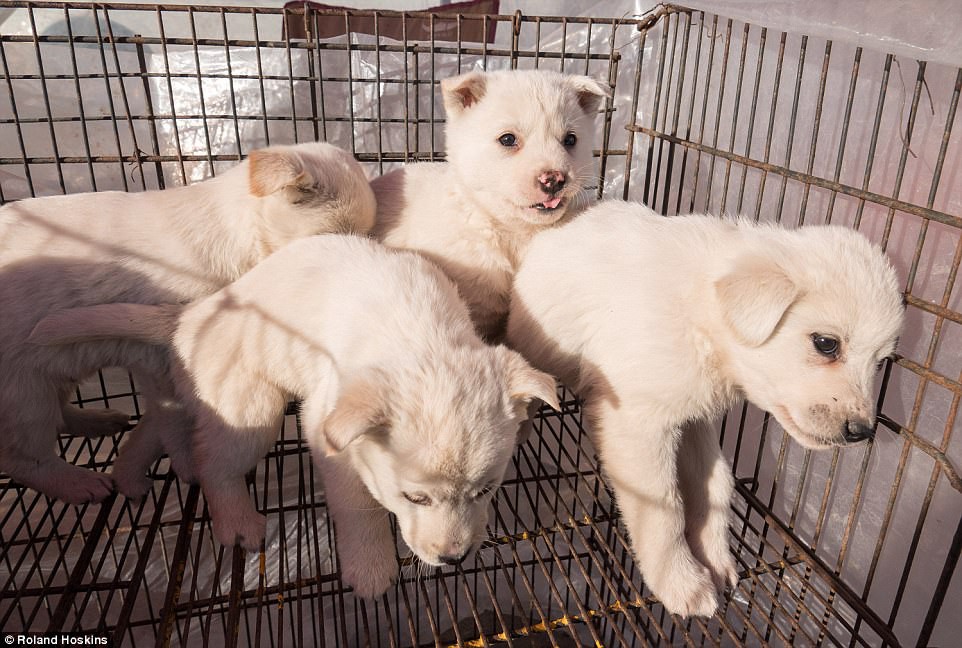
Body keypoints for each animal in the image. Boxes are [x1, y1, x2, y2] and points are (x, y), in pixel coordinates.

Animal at [0, 143, 376, 506]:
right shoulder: (161, 356)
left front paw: (133, 469)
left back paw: (97, 420)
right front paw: (183, 464)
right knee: (23, 457)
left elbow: (159, 421)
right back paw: (79, 483)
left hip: (53, 372)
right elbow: (174, 417)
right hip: (24, 394)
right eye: (333, 235)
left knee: (59, 416)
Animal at [31, 233, 556, 596]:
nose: (454, 559)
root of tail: (191, 315)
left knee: (156, 426)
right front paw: (370, 571)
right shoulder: (329, 431)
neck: (422, 337)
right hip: (249, 405)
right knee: (214, 464)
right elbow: (359, 506)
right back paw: (237, 522)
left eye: (486, 490)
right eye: (415, 497)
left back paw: (129, 475)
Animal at [506, 202, 904, 616]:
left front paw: (715, 559)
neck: (701, 313)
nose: (862, 432)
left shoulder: (694, 418)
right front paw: (682, 583)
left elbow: (717, 485)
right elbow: (663, 508)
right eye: (826, 343)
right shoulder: (637, 423)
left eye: (880, 361)